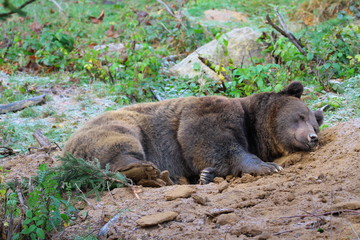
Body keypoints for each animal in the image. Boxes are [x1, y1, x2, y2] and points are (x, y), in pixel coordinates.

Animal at [62, 81, 324, 187]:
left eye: (315, 125)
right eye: (300, 116)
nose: (313, 138)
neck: (254, 129)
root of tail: (64, 150)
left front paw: (207, 175)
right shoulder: (208, 114)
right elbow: (212, 143)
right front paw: (268, 166)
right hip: (114, 125)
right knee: (121, 141)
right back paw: (143, 169)